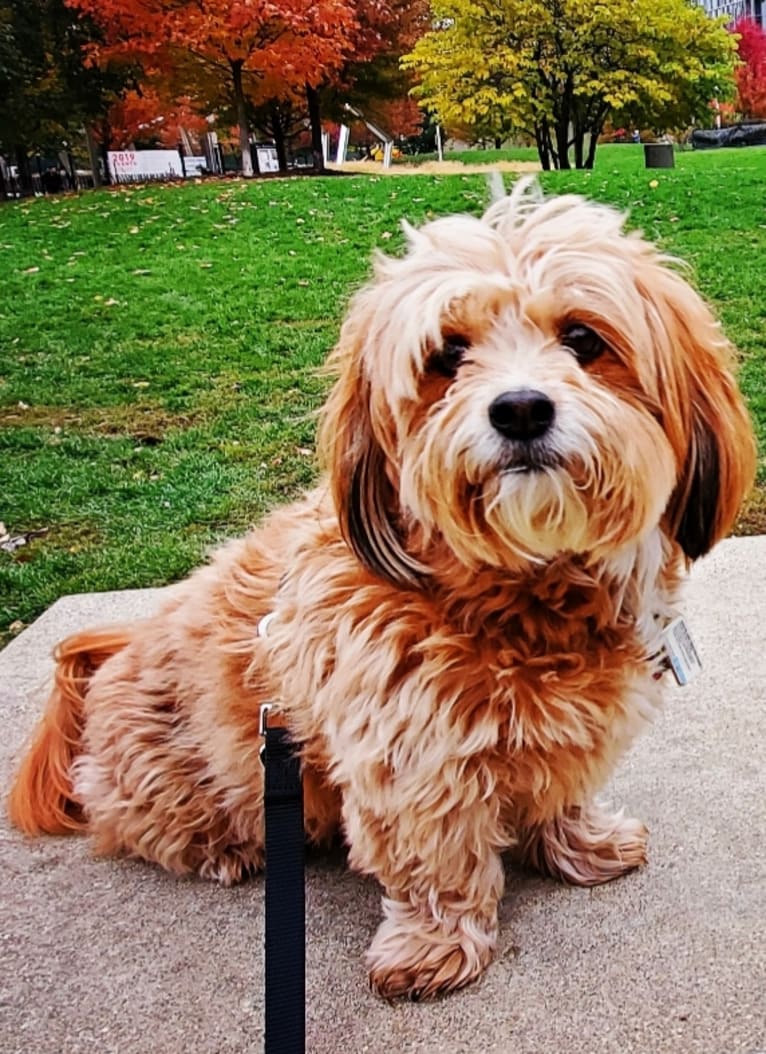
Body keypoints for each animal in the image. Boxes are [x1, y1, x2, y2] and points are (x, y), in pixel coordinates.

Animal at [8, 185, 758, 999]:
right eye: (448, 354)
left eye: (584, 339)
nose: (520, 408)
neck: (522, 585)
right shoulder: (411, 751)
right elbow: (438, 860)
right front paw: (437, 946)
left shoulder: (572, 728)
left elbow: (559, 790)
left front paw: (580, 844)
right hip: (181, 777)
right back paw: (226, 851)